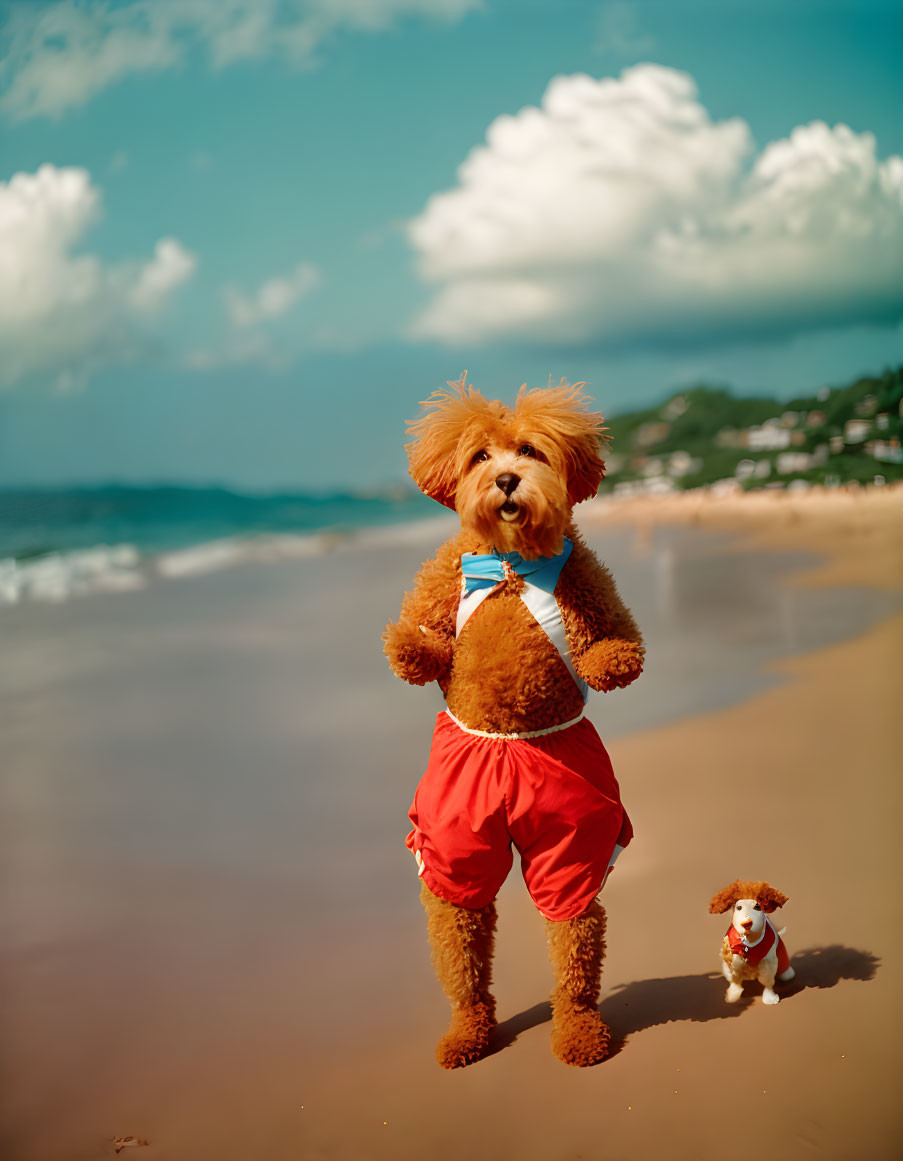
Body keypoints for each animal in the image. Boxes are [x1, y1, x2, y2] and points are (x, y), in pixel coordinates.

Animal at [383, 376, 645, 1063]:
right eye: (479, 457)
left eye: (529, 451)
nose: (505, 479)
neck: (508, 563)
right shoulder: (445, 572)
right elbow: (429, 634)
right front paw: (408, 647)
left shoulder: (587, 575)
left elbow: (615, 635)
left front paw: (612, 659)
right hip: (454, 842)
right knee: (460, 927)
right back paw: (468, 1030)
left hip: (573, 837)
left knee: (573, 928)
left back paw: (578, 1030)